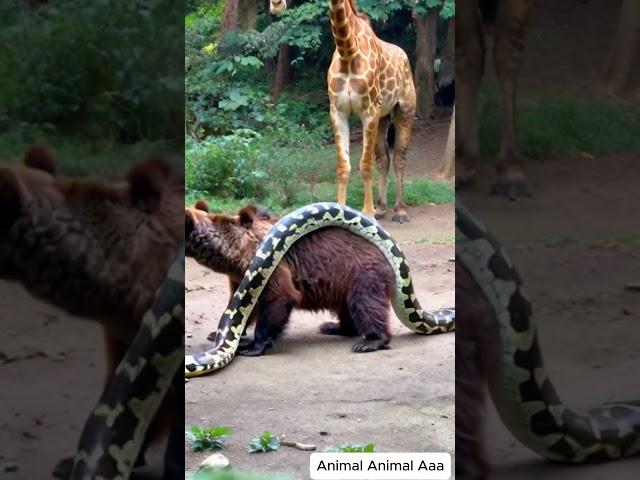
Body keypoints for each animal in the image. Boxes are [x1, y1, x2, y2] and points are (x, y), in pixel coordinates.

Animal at [268, 0, 416, 222]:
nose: (276, 4)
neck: (348, 51)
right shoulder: (338, 112)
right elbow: (343, 166)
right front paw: (342, 212)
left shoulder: (369, 111)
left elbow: (365, 165)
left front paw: (367, 213)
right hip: (382, 117)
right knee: (384, 160)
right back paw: (381, 208)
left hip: (404, 111)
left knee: (399, 158)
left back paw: (400, 210)